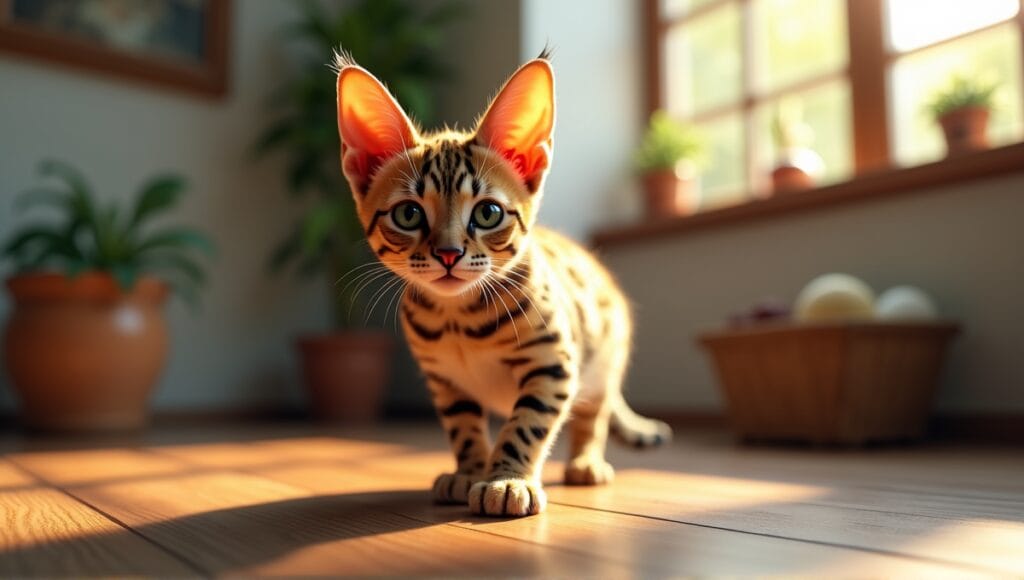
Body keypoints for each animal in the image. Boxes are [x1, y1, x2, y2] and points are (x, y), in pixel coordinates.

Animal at [335, 49, 671, 518]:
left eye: (488, 212)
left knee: (594, 414)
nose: (449, 253)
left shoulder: (553, 364)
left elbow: (526, 423)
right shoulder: (445, 381)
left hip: (603, 358)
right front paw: (470, 471)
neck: (458, 320)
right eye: (408, 214)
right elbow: (463, 427)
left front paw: (508, 479)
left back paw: (586, 462)